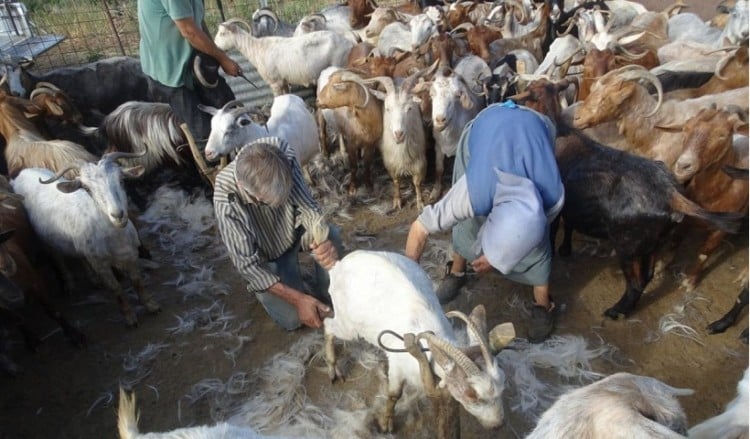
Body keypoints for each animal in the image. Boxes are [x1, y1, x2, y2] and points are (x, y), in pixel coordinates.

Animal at [9, 151, 160, 326]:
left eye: (122, 180)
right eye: (87, 188)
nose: (118, 215)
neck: (115, 237)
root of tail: (21, 174)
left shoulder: (130, 255)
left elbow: (137, 281)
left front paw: (151, 305)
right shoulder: (101, 264)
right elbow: (116, 289)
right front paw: (130, 317)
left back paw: (93, 280)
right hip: (43, 239)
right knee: (57, 258)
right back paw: (69, 285)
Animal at [212, 18, 352, 96]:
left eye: (223, 33)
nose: (215, 45)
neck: (257, 49)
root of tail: (347, 42)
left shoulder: (275, 83)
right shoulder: (283, 81)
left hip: (339, 63)